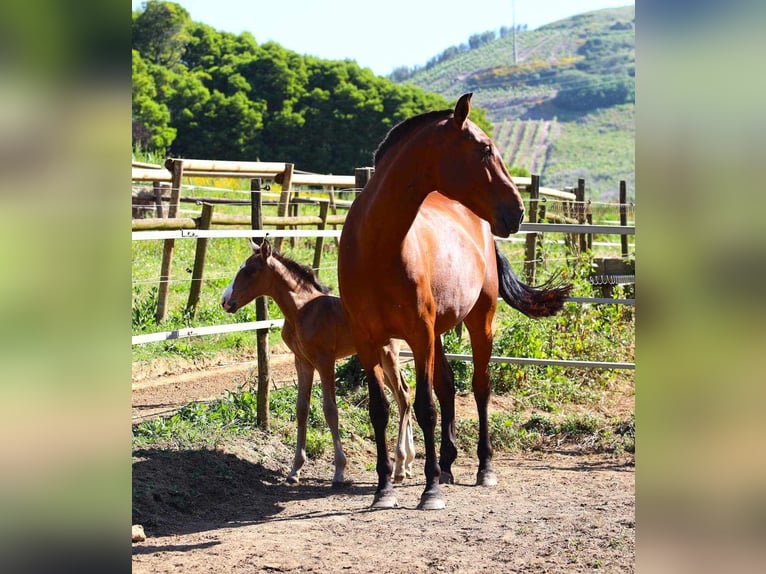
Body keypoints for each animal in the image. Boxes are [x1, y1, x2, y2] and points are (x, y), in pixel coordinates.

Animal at [222, 241, 414, 488]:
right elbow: (301, 409)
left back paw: (399, 466)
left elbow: (330, 409)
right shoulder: (302, 361)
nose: (225, 301)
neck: (302, 310)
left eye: (250, 271)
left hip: (388, 355)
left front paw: (339, 470)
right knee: (404, 395)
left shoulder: (325, 361)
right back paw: (407, 464)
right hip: (380, 361)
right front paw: (295, 470)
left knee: (403, 396)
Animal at [340, 94, 572, 512]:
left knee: (480, 388)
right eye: (484, 150)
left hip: (479, 322)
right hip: (438, 333)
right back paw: (447, 463)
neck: (376, 247)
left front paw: (430, 490)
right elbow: (380, 409)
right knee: (448, 386)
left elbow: (425, 407)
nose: (517, 211)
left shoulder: (419, 334)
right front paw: (384, 489)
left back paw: (483, 467)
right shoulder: (369, 339)